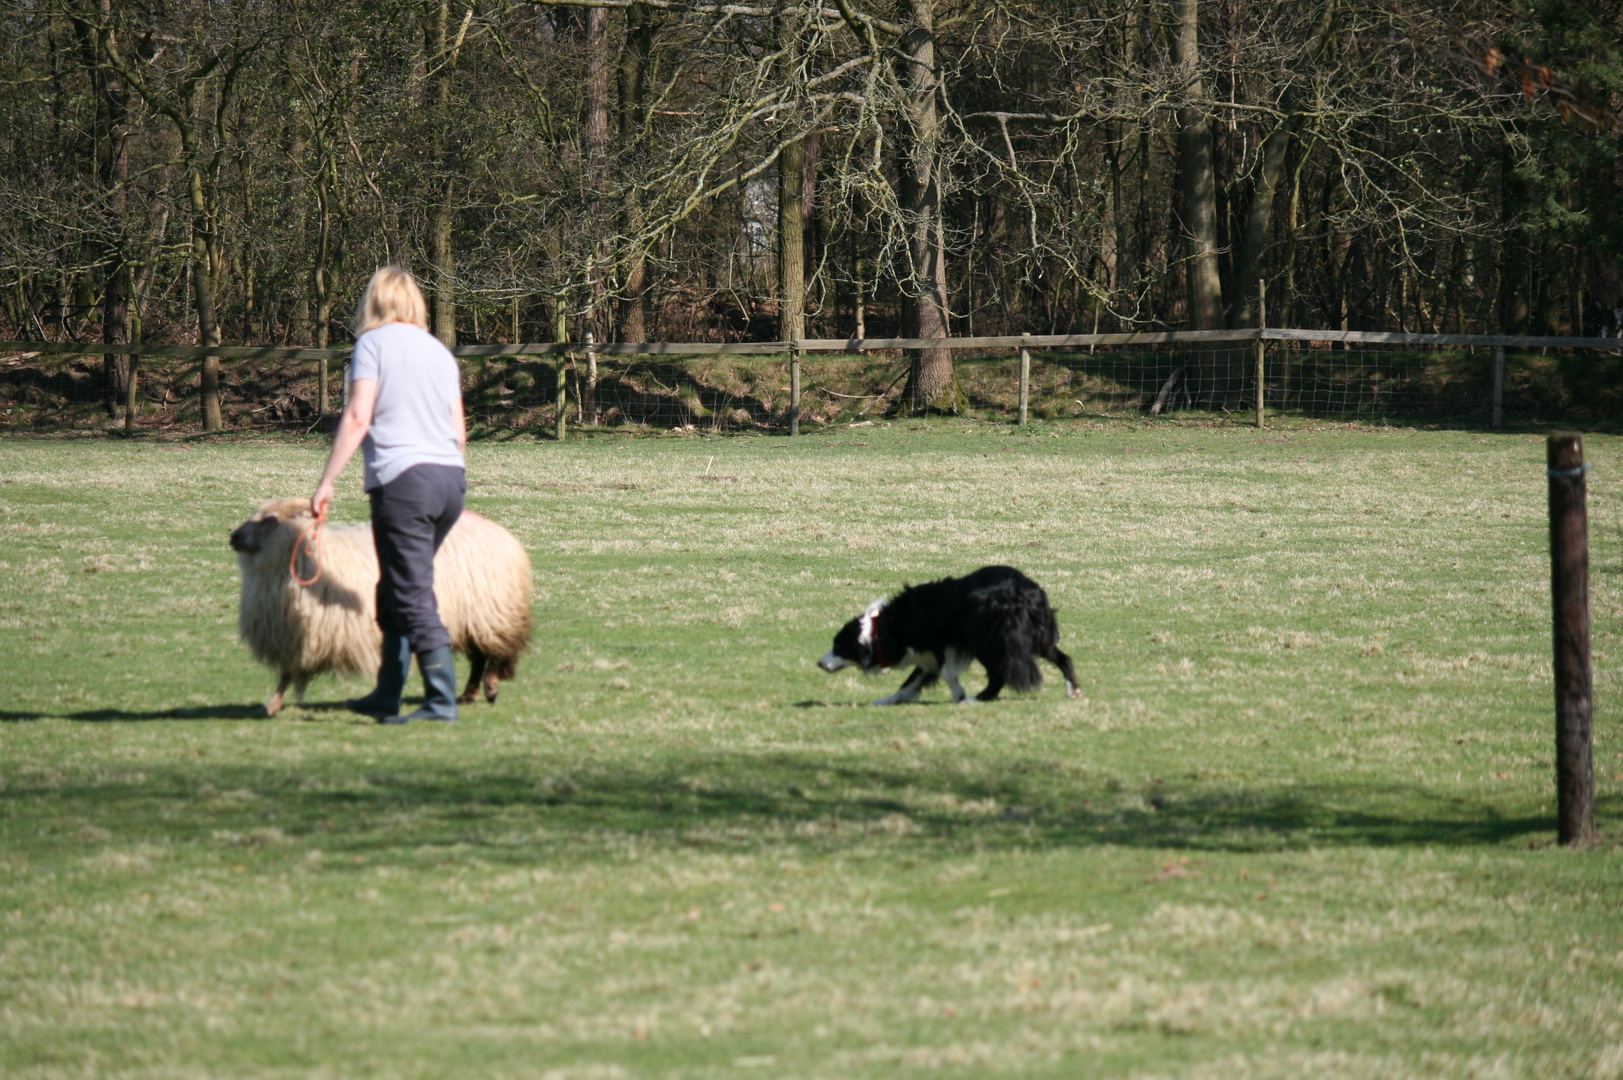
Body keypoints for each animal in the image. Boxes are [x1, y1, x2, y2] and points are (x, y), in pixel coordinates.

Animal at [230, 496, 532, 714]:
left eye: (271, 520)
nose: (233, 537)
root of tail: (498, 531)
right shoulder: (295, 636)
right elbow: (286, 673)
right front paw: (273, 704)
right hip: (471, 618)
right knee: (479, 656)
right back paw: (468, 694)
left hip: (490, 612)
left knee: (495, 652)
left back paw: (489, 687)